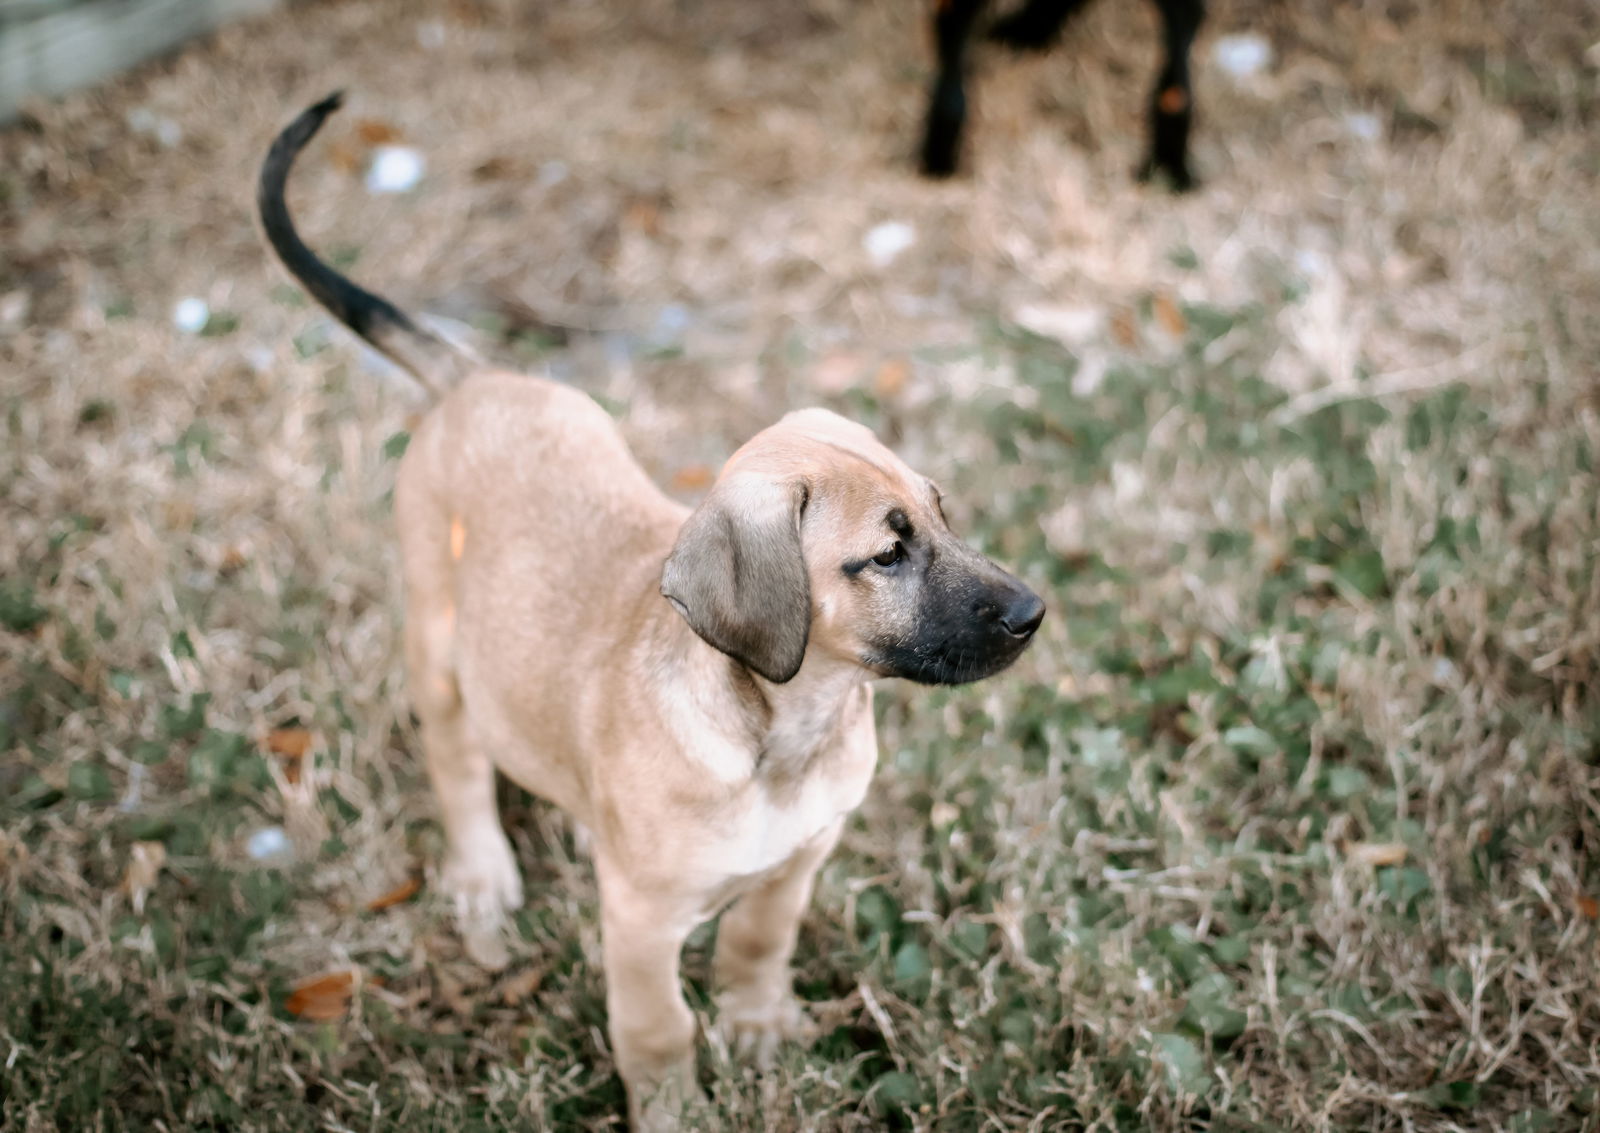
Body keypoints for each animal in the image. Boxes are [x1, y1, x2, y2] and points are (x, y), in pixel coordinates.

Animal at [256, 92, 1043, 1126]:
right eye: (887, 554)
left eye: (944, 512)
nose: (1033, 612)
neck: (784, 737)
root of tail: (477, 379)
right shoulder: (638, 918)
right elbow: (659, 1027)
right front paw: (673, 1105)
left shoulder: (800, 862)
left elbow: (759, 939)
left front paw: (757, 1022)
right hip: (436, 635)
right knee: (457, 759)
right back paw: (482, 874)